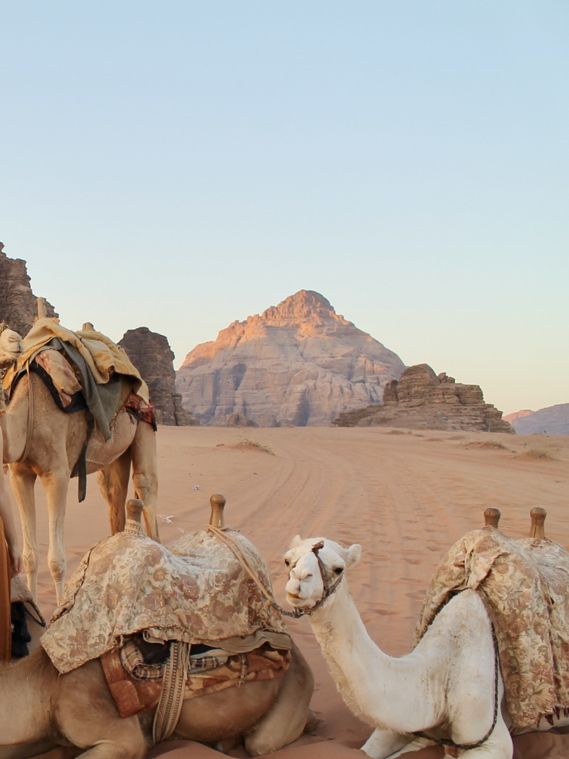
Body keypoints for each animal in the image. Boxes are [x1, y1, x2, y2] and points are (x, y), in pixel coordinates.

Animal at [0, 324, 158, 604]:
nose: (14, 340)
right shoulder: (20, 474)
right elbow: (30, 557)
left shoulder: (57, 474)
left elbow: (56, 561)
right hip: (113, 456)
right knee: (114, 497)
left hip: (144, 421)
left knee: (146, 486)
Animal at [284, 536, 569, 759]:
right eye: (288, 560)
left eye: (338, 568)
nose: (299, 579)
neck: (440, 671)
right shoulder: (399, 722)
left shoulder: (490, 739)